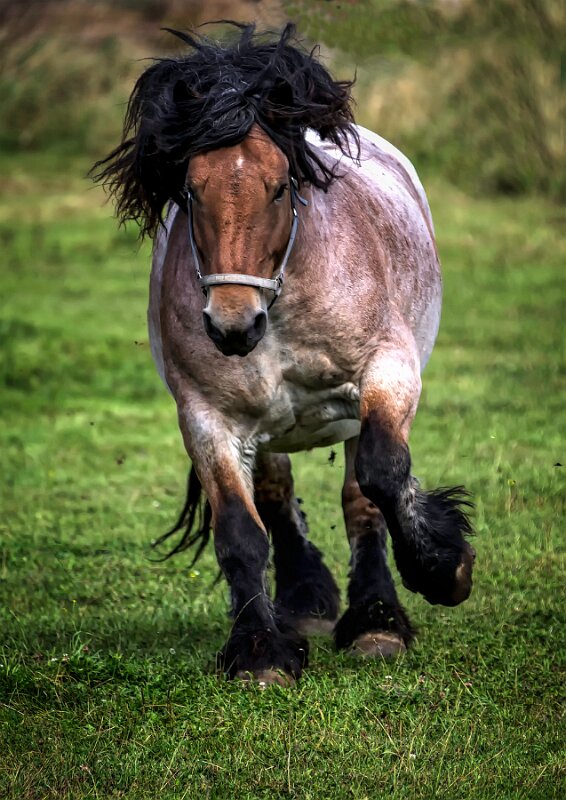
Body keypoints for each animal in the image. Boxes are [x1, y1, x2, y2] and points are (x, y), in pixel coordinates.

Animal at [92, 23, 475, 686]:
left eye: (278, 188)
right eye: (190, 190)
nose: (233, 325)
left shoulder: (387, 373)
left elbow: (381, 475)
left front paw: (442, 570)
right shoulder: (207, 418)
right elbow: (241, 532)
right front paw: (259, 651)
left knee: (361, 498)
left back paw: (374, 621)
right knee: (275, 496)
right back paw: (306, 601)